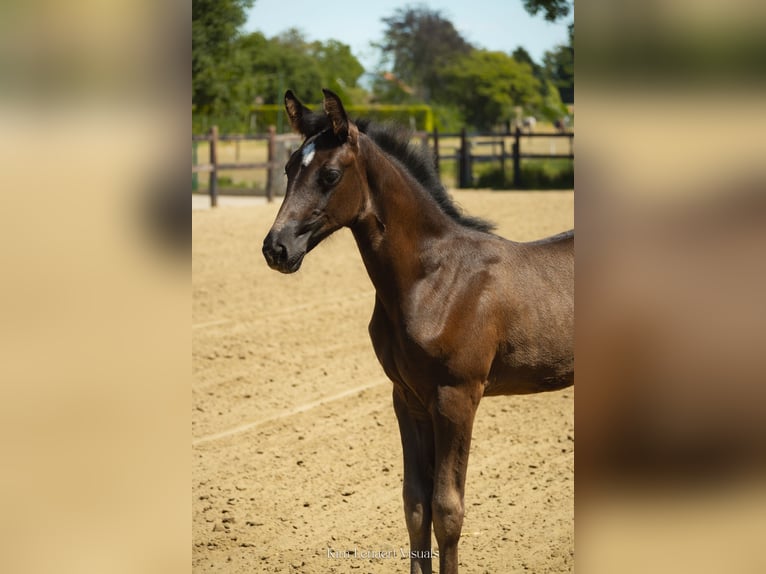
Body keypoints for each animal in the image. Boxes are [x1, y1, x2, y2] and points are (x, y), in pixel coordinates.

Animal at [262, 89, 574, 574]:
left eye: (330, 175)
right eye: (289, 168)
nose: (276, 248)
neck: (434, 278)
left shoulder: (456, 398)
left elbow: (447, 510)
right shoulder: (407, 398)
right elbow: (415, 505)